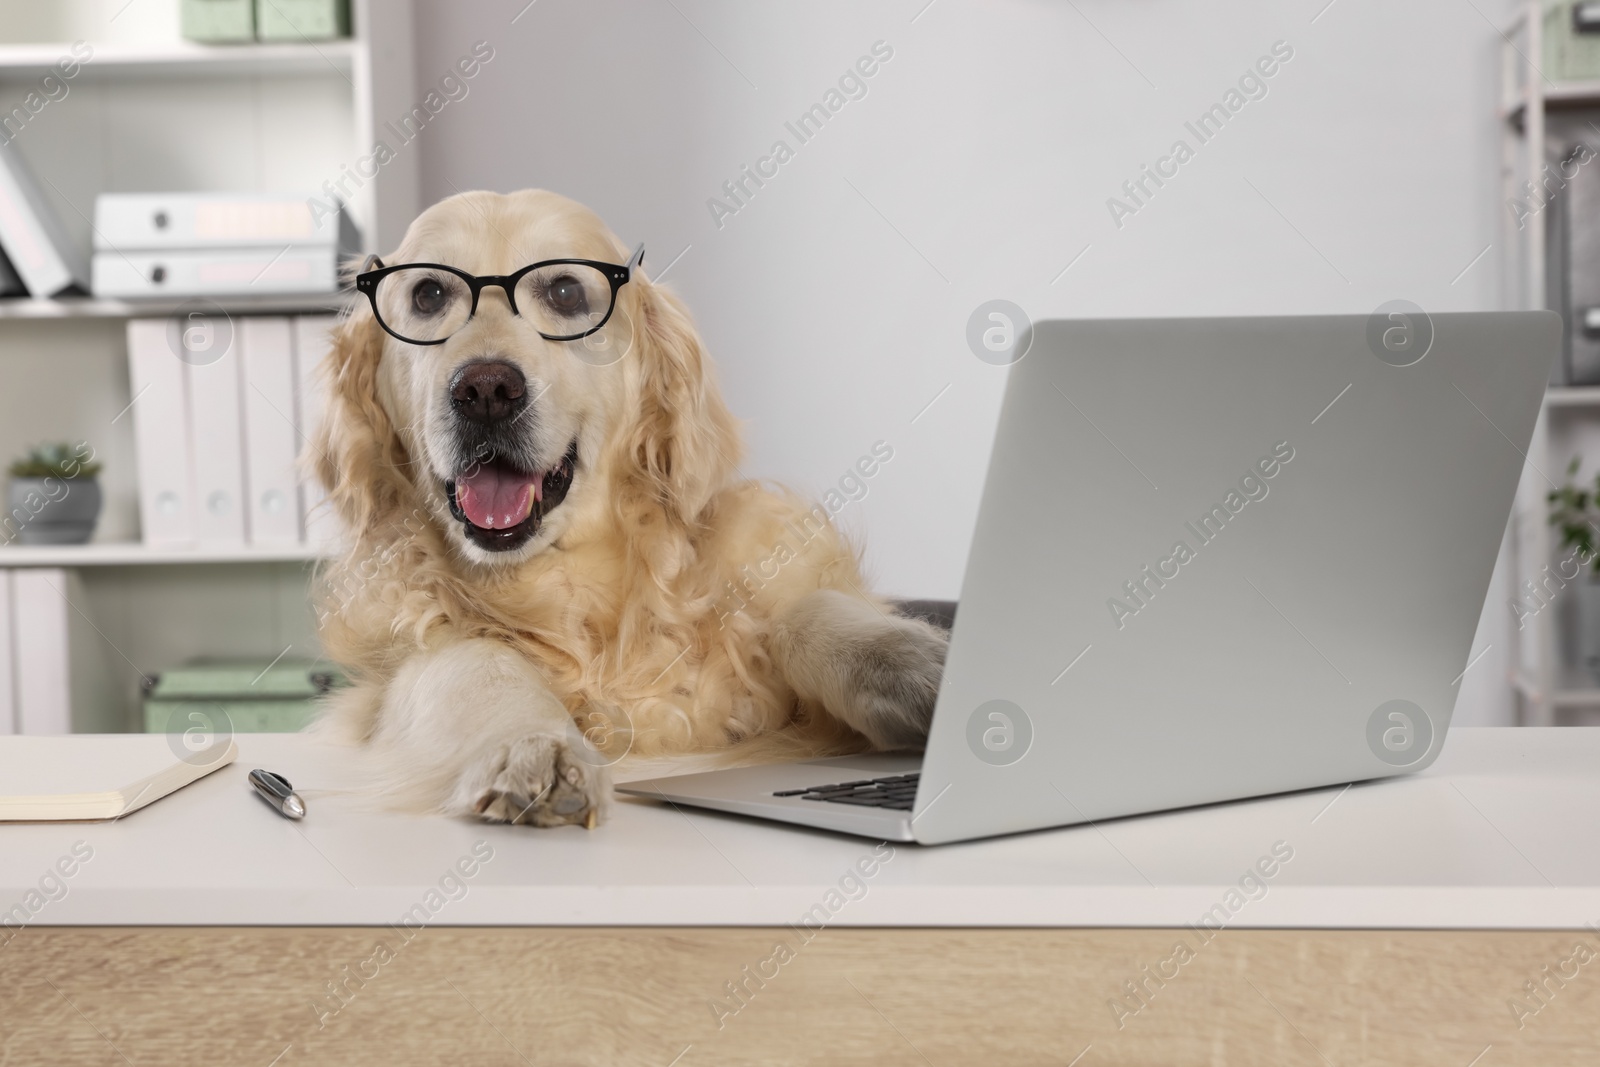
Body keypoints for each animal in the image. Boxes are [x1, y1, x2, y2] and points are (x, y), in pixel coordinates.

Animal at [305, 189, 940, 825]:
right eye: (428, 294)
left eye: (565, 292)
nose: (485, 390)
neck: (568, 584)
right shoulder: (396, 675)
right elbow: (476, 662)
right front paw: (532, 745)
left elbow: (806, 611)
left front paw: (915, 665)